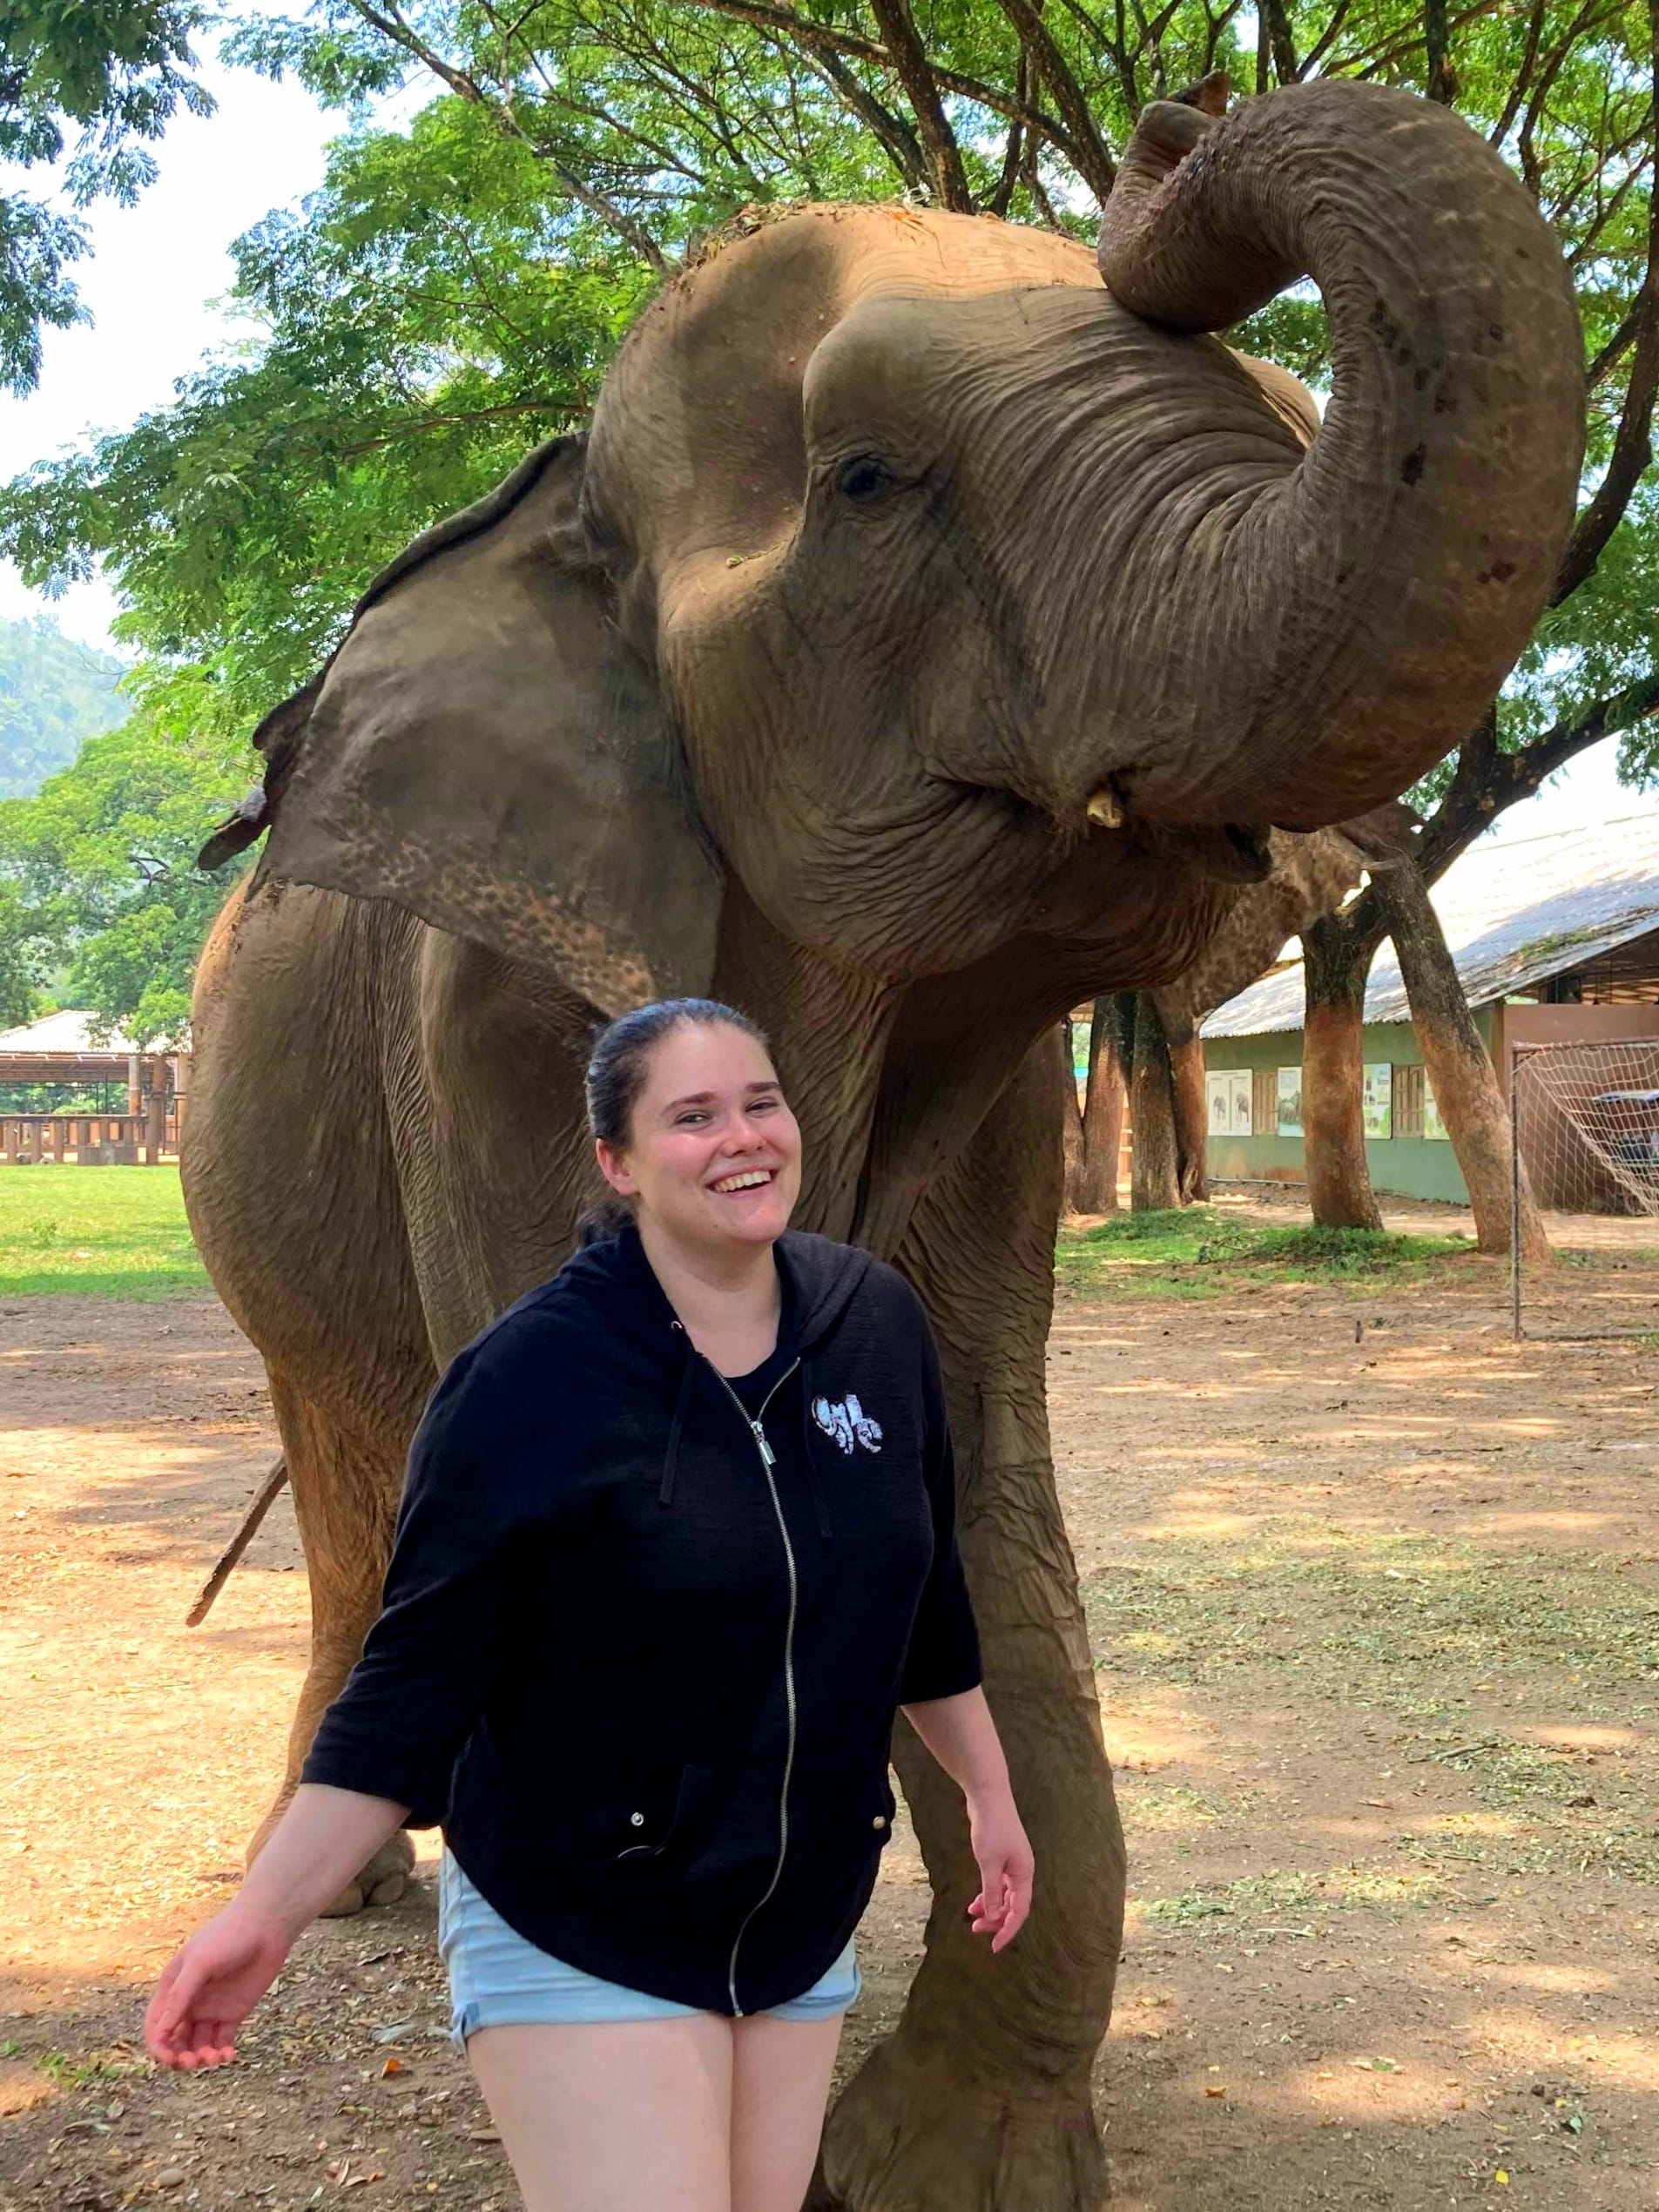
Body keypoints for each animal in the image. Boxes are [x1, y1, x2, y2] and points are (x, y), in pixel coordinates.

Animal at [184, 79, 1582, 2212]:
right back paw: (342, 1894)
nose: (1168, 125)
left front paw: (936, 2161)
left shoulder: (989, 1103)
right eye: (862, 481)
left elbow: (965, 1475)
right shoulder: (493, 1036)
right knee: (353, 1447)